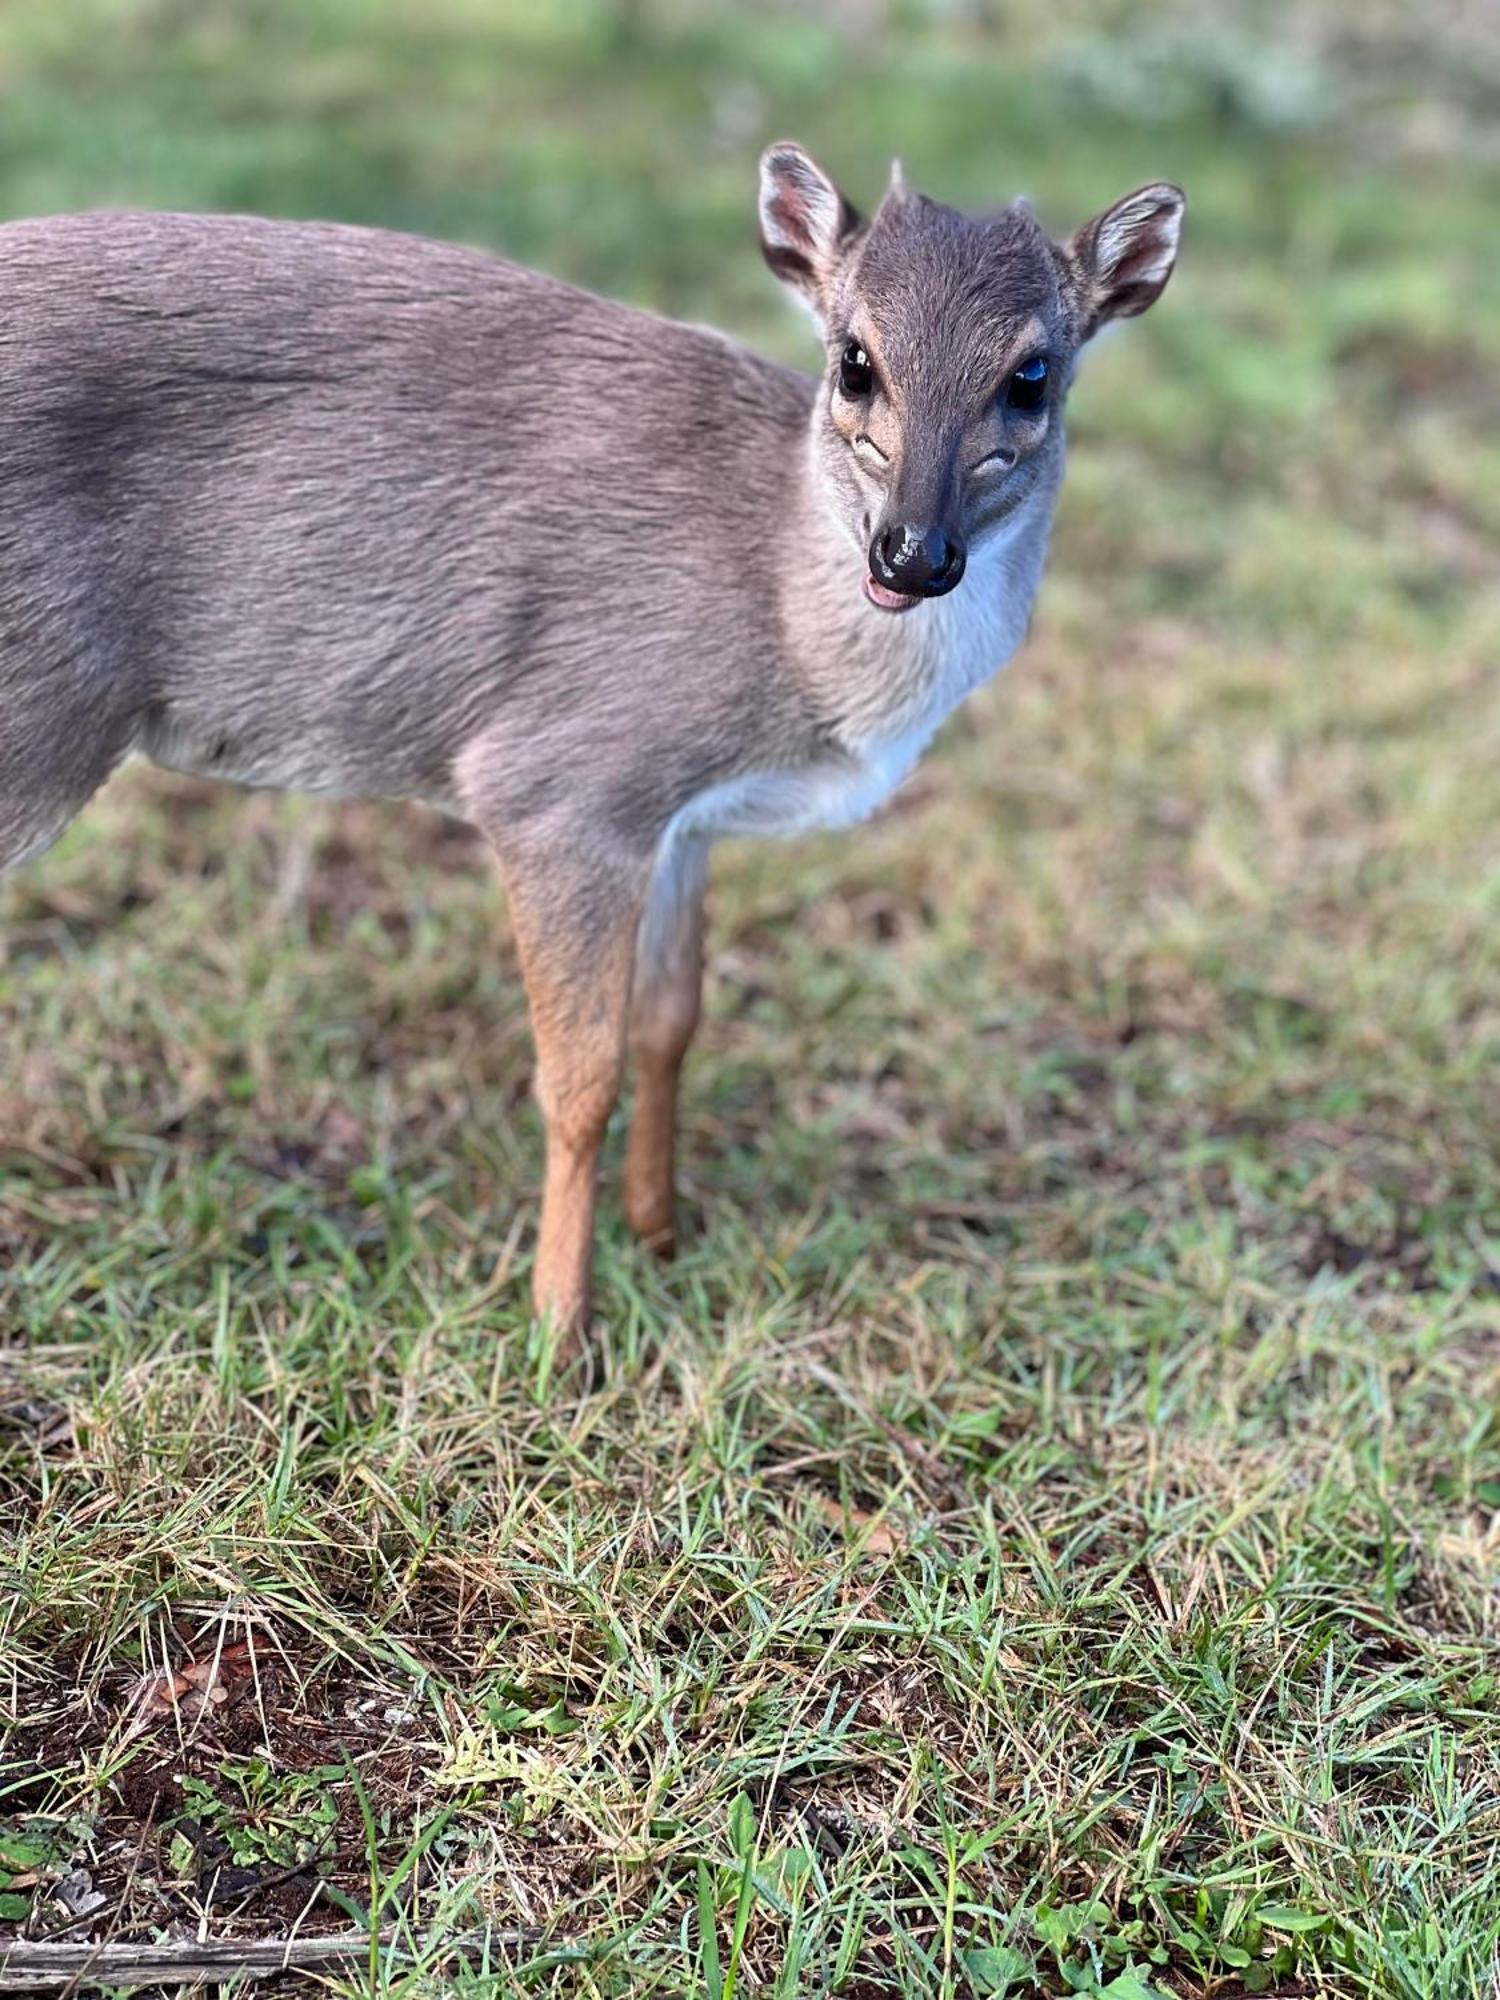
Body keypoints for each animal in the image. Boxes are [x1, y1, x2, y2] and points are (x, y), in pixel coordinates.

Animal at [0, 148, 1184, 1336]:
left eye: (1031, 375)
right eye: (855, 360)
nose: (910, 552)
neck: (785, 627)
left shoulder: (681, 818)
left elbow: (670, 1023)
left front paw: (662, 1235)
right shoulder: (561, 778)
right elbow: (579, 1078)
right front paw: (559, 1328)